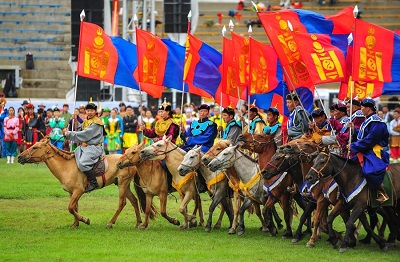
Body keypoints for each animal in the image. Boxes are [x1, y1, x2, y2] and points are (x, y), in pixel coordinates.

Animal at [18, 137, 147, 229]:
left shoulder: (78, 191)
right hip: (124, 185)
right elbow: (74, 207)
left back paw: (110, 223)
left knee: (122, 203)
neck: (66, 167)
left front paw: (84, 220)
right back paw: (138, 222)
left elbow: (70, 208)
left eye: (35, 147)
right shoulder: (72, 193)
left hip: (122, 184)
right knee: (134, 200)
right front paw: (75, 224)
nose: (19, 157)